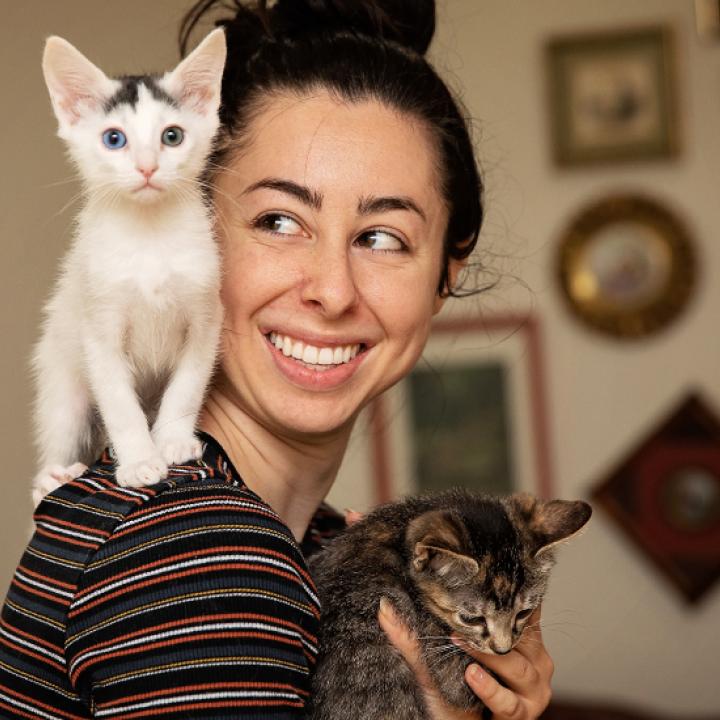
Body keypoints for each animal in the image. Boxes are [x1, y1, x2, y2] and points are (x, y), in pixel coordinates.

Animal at [31, 29, 225, 506]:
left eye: (172, 136)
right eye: (114, 139)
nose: (147, 167)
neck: (149, 236)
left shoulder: (207, 316)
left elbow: (188, 384)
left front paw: (172, 440)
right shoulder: (98, 328)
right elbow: (119, 402)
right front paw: (139, 460)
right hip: (60, 382)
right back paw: (53, 476)